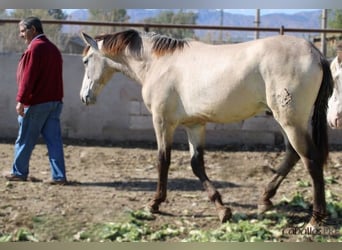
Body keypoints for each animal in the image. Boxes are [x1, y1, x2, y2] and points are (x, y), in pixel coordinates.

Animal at [79, 29, 332, 227]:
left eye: (85, 61)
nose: (84, 97)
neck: (158, 64)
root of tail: (316, 53)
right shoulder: (195, 125)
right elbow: (196, 164)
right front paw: (222, 208)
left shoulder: (162, 121)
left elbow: (163, 160)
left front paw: (155, 203)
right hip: (287, 120)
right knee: (293, 155)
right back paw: (265, 199)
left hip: (290, 121)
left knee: (310, 160)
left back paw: (315, 219)